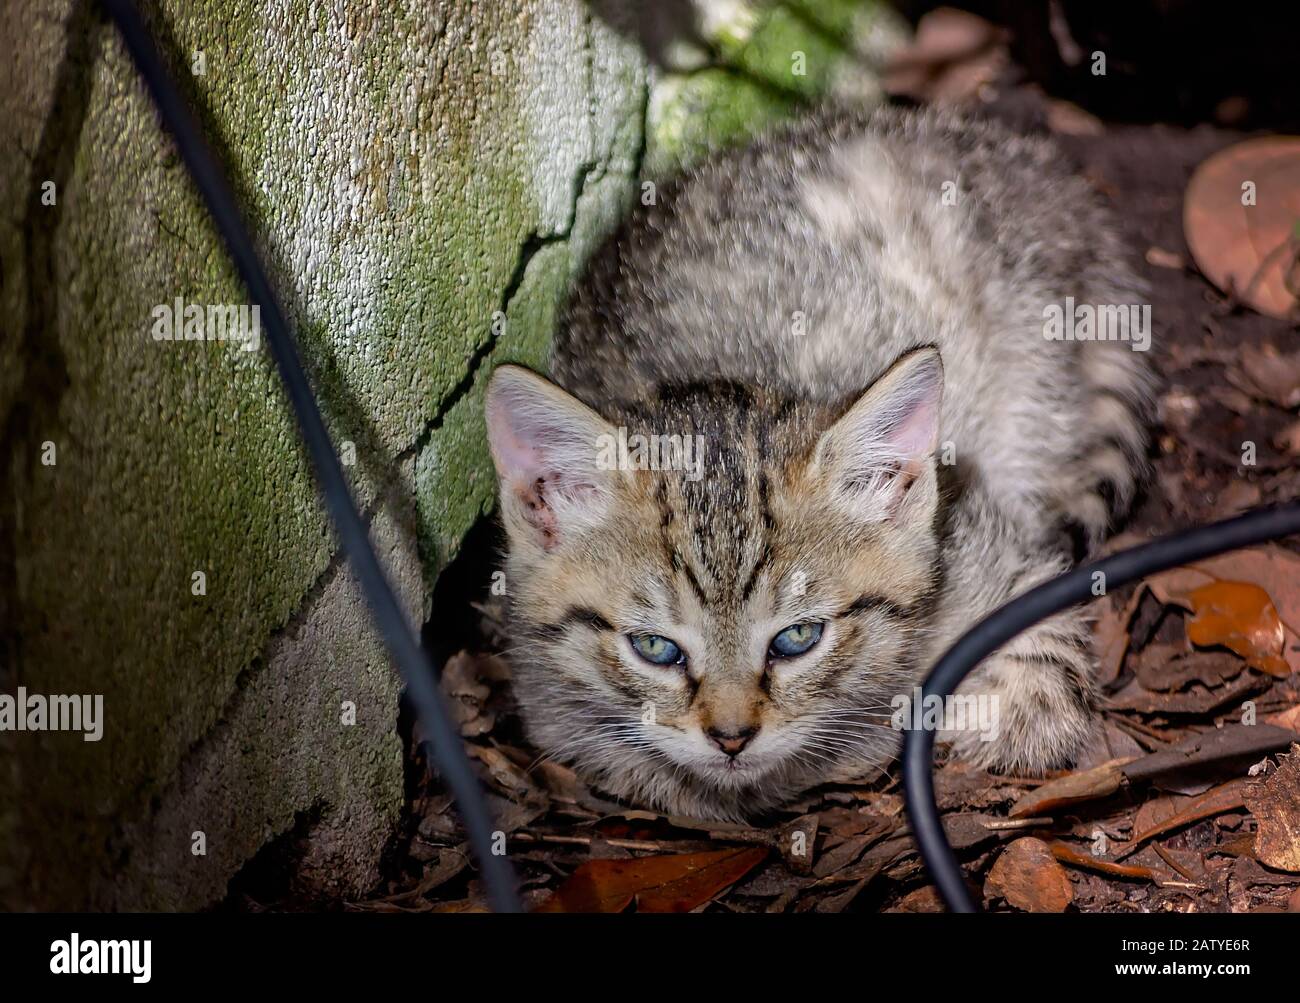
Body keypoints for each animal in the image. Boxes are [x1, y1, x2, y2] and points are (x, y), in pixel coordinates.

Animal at [483, 105, 1154, 821]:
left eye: (797, 638)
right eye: (655, 648)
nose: (731, 736)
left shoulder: (986, 538)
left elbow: (1042, 623)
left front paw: (1012, 711)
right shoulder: (544, 695)